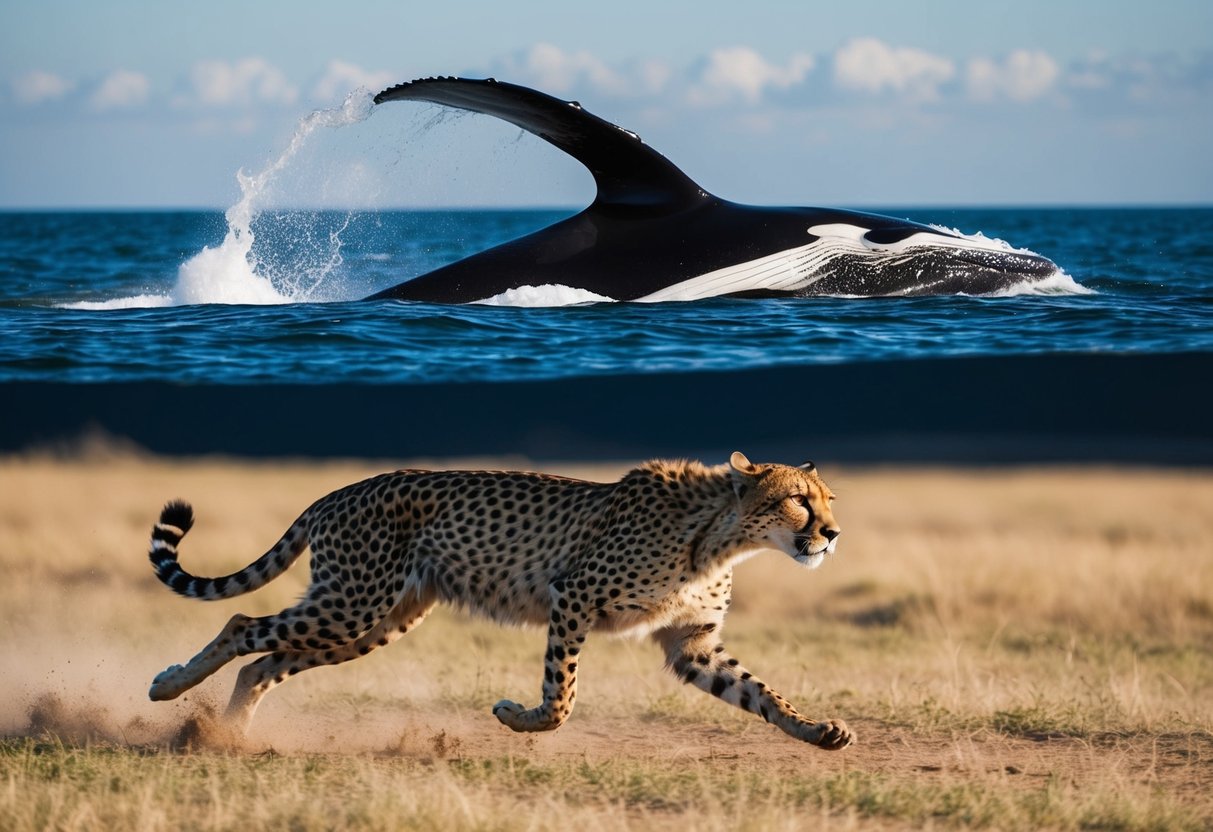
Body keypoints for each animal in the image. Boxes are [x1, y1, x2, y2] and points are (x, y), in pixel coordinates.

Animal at [146, 451, 852, 749]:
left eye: (828, 500)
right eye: (799, 501)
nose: (832, 534)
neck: (721, 535)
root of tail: (337, 491)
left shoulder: (691, 644)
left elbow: (761, 693)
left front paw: (818, 731)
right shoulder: (574, 596)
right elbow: (563, 695)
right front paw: (519, 718)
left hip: (374, 621)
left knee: (265, 662)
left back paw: (222, 735)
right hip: (351, 604)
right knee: (241, 622)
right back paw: (170, 686)